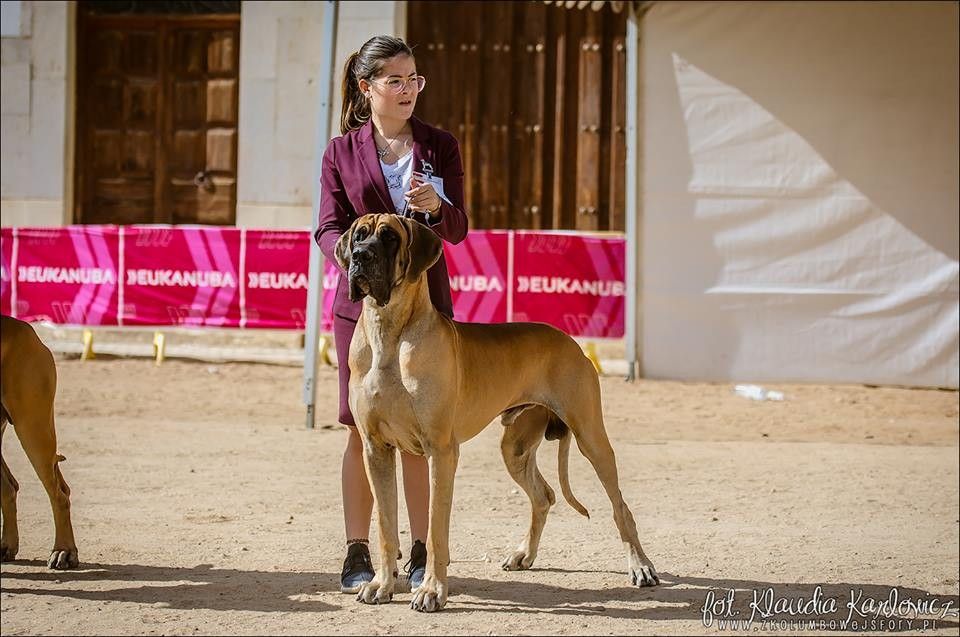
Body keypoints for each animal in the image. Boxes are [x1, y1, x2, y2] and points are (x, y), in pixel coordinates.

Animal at [334, 213, 659, 612]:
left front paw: (431, 590)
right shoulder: (375, 449)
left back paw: (641, 567)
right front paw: (381, 584)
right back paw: (523, 555)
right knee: (544, 495)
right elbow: (384, 523)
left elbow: (436, 528)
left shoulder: (440, 451)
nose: (360, 257)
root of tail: (571, 342)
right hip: (515, 447)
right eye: (359, 235)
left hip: (591, 437)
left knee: (620, 507)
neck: (390, 331)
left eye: (390, 237)